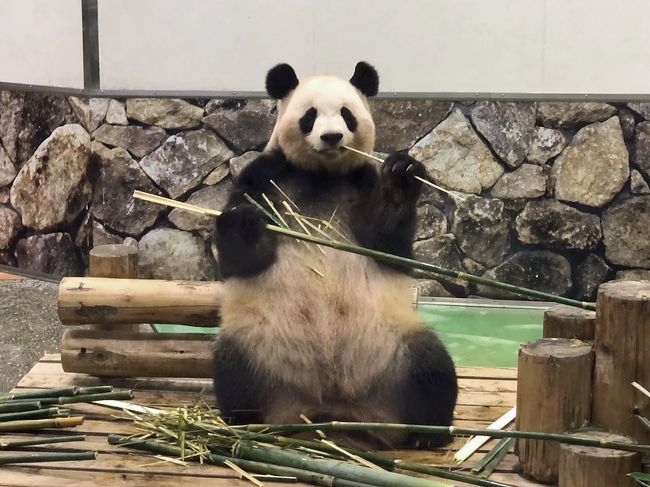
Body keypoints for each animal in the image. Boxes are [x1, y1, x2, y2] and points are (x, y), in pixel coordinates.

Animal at [213, 62, 456, 450]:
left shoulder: (362, 182)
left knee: (433, 367)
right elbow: (241, 259)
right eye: (310, 116)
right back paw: (247, 424)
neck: (322, 176)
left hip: (395, 346)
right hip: (257, 344)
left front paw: (402, 177)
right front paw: (244, 220)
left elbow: (389, 244)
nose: (331, 137)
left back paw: (426, 434)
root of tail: (330, 408)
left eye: (347, 114)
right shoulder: (265, 177)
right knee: (232, 371)